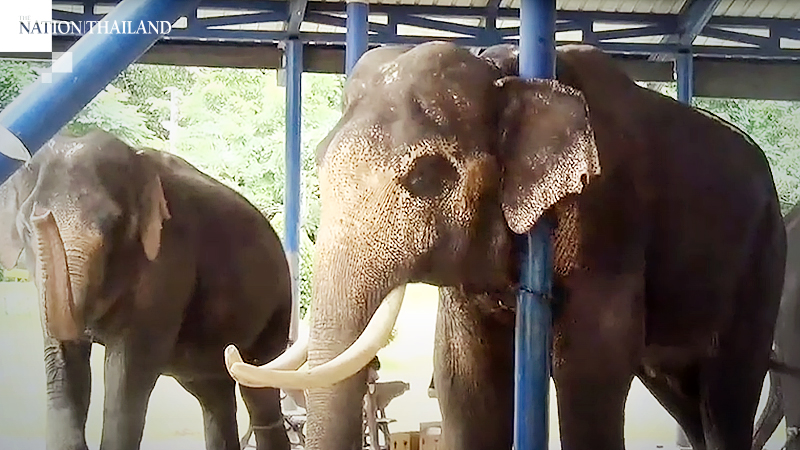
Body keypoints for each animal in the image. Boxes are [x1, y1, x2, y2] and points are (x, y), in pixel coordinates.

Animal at [0, 130, 293, 450]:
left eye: (112, 225)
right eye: (26, 229)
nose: (42, 218)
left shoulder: (168, 263)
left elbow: (126, 373)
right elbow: (62, 363)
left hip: (277, 308)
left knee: (259, 389)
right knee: (214, 396)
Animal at [224, 41, 787, 450]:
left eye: (426, 175)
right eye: (319, 160)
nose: (233, 350)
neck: (503, 71)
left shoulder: (609, 224)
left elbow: (591, 370)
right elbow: (463, 377)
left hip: (764, 260)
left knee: (727, 395)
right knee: (685, 399)